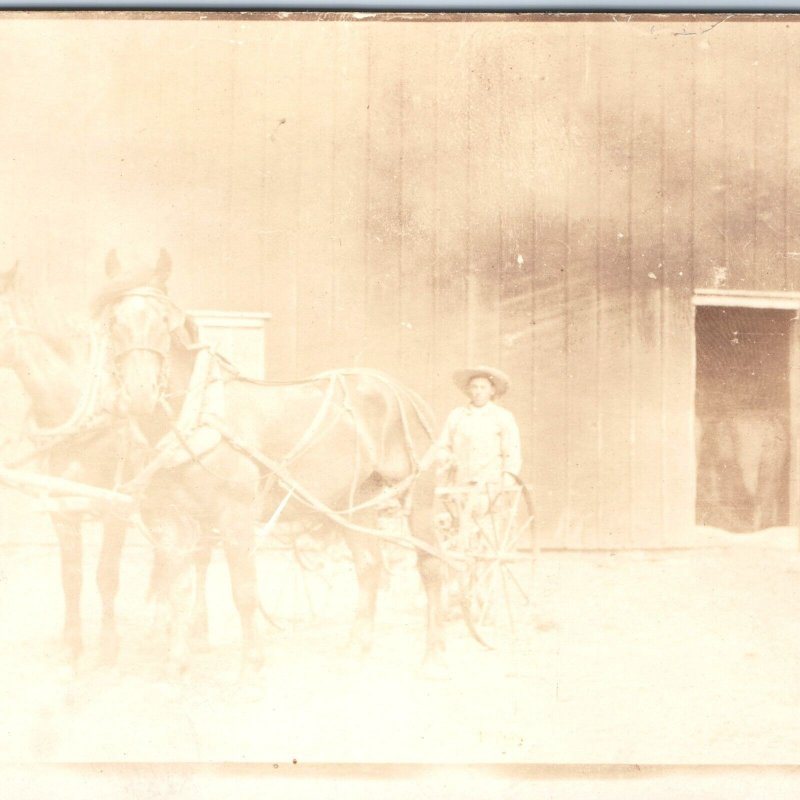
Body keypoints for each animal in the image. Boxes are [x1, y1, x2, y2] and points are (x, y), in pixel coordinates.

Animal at [96, 250, 446, 676]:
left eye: (165, 321)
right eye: (115, 321)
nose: (140, 394)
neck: (197, 417)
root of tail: (402, 391)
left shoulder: (235, 516)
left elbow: (244, 590)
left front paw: (252, 664)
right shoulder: (172, 519)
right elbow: (178, 589)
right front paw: (175, 664)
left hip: (420, 498)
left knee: (431, 567)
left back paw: (433, 655)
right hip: (354, 501)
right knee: (368, 565)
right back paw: (357, 644)